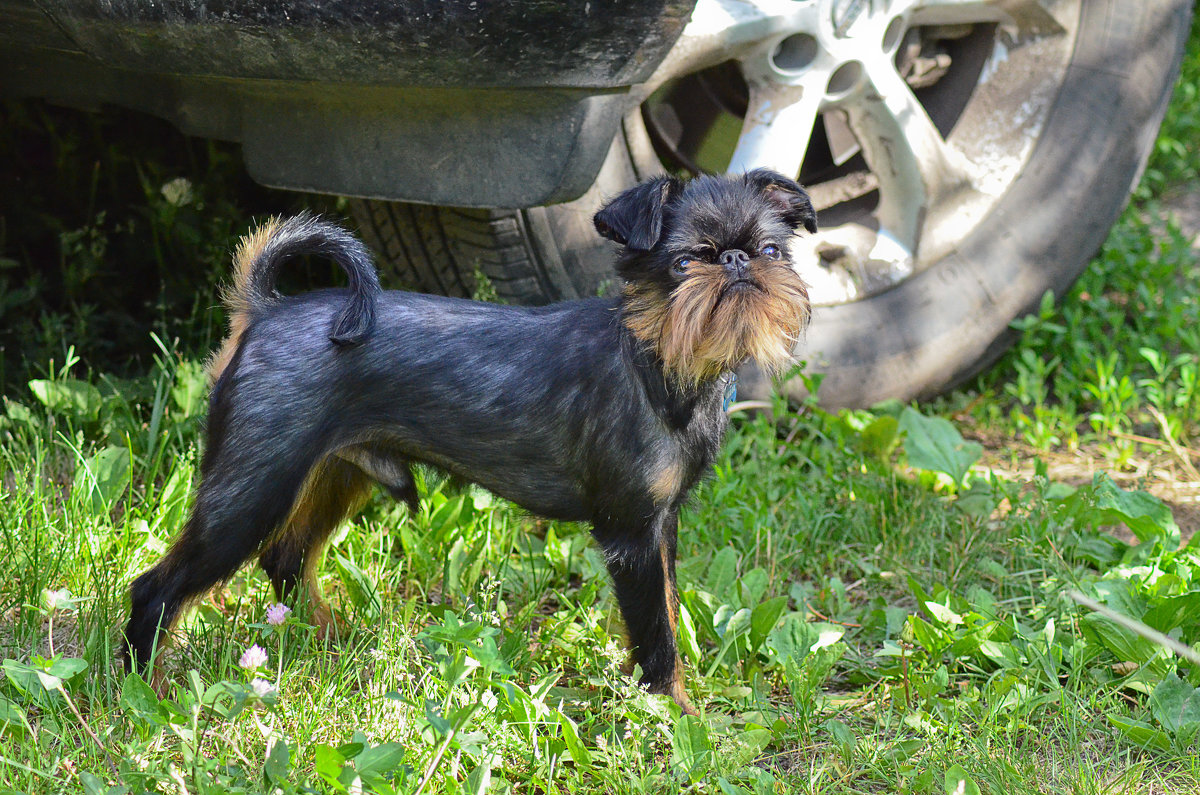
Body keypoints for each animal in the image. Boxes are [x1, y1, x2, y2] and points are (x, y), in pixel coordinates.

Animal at [124, 169, 816, 715]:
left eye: (772, 249)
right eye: (683, 263)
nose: (736, 260)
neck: (661, 357)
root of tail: (266, 310)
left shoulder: (660, 526)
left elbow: (666, 611)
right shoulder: (631, 534)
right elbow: (657, 633)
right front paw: (673, 713)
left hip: (333, 476)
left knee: (287, 559)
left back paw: (328, 639)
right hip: (251, 490)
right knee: (158, 588)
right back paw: (144, 693)